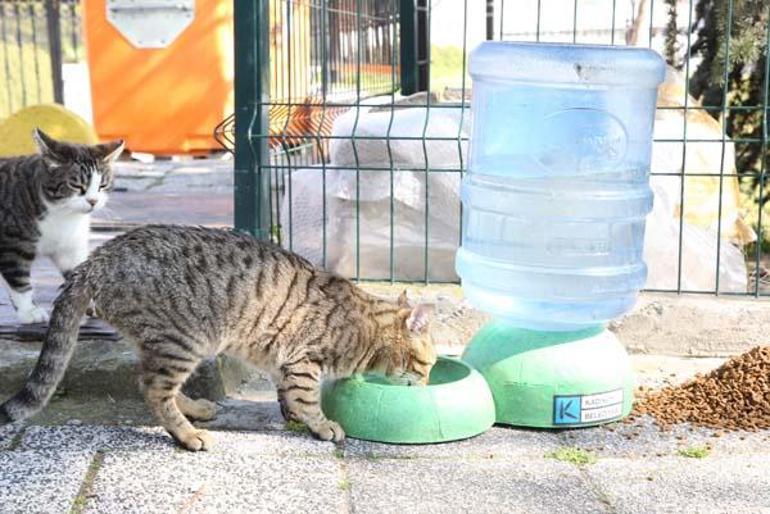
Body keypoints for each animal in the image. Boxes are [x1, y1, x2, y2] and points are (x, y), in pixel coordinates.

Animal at [0, 128, 123, 322]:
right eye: (76, 185)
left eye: (102, 186)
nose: (93, 201)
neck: (63, 215)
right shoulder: (12, 245)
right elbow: (19, 280)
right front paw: (29, 311)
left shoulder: (70, 246)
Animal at [0, 224, 432, 448]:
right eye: (426, 366)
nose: (428, 384)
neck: (366, 326)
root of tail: (92, 262)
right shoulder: (303, 359)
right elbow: (308, 398)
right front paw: (322, 425)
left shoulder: (279, 358)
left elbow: (287, 393)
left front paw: (292, 415)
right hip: (183, 341)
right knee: (153, 389)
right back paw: (188, 434)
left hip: (159, 342)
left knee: (152, 383)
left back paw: (193, 410)